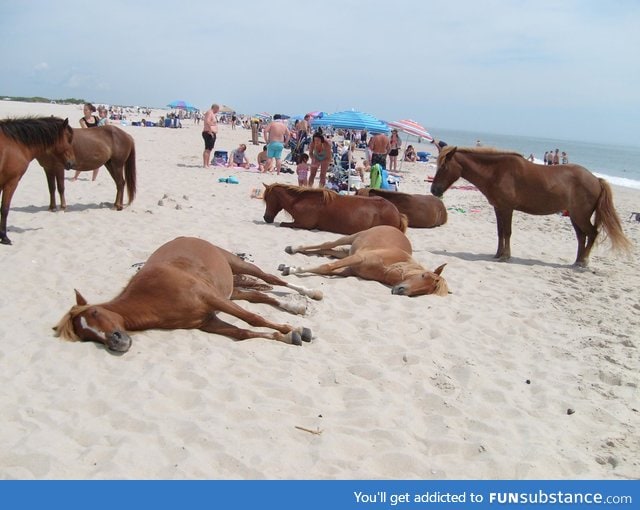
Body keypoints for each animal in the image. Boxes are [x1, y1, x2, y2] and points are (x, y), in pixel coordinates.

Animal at [0, 116, 74, 244]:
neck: (15, 144)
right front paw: (4, 237)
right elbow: (4, 209)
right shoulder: (11, 182)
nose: (71, 162)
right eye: (69, 139)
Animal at [53, 236, 324, 350]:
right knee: (260, 295)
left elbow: (252, 318)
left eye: (96, 312)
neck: (154, 295)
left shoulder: (211, 299)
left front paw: (292, 329)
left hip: (237, 265)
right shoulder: (207, 322)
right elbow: (244, 333)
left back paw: (309, 293)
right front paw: (288, 336)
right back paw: (295, 307)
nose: (116, 342)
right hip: (231, 292)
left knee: (271, 279)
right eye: (85, 336)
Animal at [262, 183, 408, 235]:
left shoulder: (303, 224)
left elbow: (282, 224)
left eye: (268, 198)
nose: (266, 218)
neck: (302, 201)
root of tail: (397, 213)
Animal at [280, 226, 450, 296]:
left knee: (326, 250)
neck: (388, 267)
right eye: (423, 275)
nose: (400, 290)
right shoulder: (358, 258)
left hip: (347, 251)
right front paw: (291, 269)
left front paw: (290, 267)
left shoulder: (348, 269)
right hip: (352, 237)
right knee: (327, 244)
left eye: (425, 291)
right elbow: (326, 266)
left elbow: (327, 268)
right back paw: (293, 248)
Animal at [430, 145, 632, 266]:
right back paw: (577, 260)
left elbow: (507, 232)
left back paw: (583, 261)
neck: (496, 171)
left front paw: (505, 255)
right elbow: (500, 232)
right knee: (582, 237)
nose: (434, 190)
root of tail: (596, 179)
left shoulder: (507, 208)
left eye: (444, 167)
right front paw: (498, 254)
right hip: (576, 216)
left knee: (592, 234)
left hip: (580, 216)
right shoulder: (498, 208)